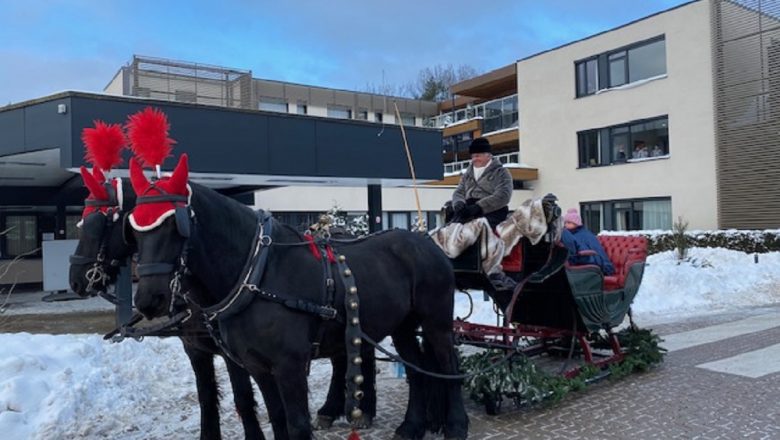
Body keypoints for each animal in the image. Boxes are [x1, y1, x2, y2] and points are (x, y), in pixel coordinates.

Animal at [129, 156, 470, 440]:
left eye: (175, 224)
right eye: (134, 228)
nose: (148, 299)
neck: (258, 272)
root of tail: (426, 241)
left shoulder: (289, 366)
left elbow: (296, 425)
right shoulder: (257, 366)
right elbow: (277, 419)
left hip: (436, 321)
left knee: (447, 364)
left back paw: (455, 425)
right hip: (402, 326)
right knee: (416, 369)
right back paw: (412, 426)